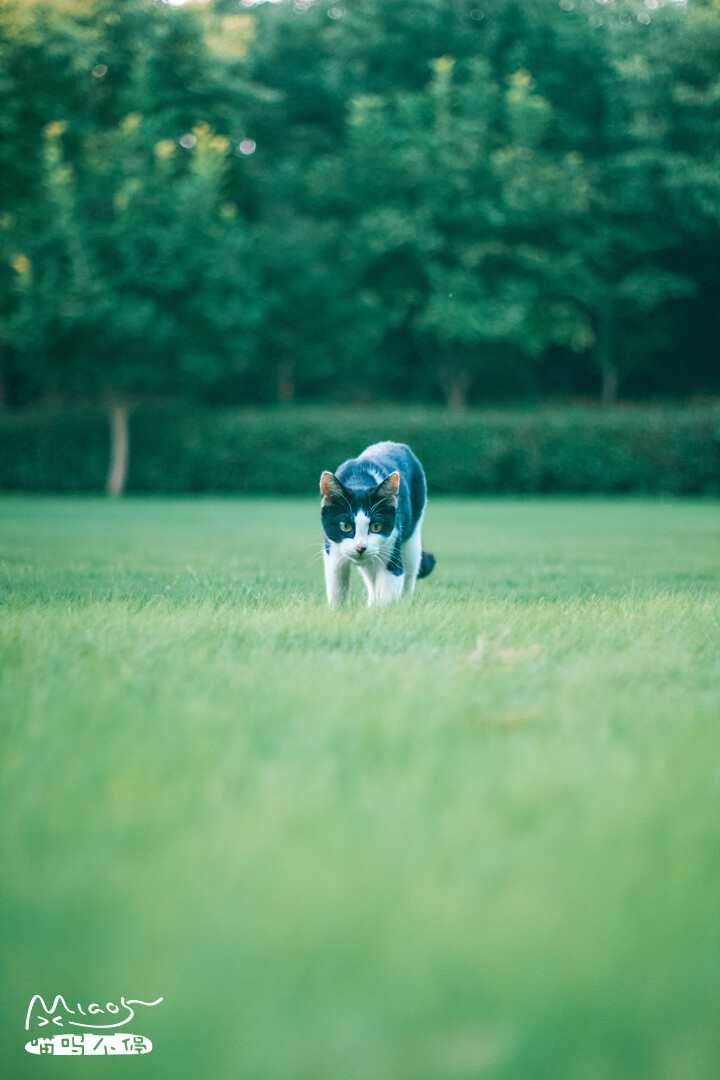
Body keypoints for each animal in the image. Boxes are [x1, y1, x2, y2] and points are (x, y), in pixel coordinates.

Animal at [321, 440, 433, 609]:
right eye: (345, 526)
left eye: (376, 526)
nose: (360, 548)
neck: (359, 481)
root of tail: (396, 444)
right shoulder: (333, 551)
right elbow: (337, 588)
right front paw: (338, 611)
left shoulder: (392, 544)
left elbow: (389, 587)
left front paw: (381, 612)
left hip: (411, 540)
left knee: (409, 573)